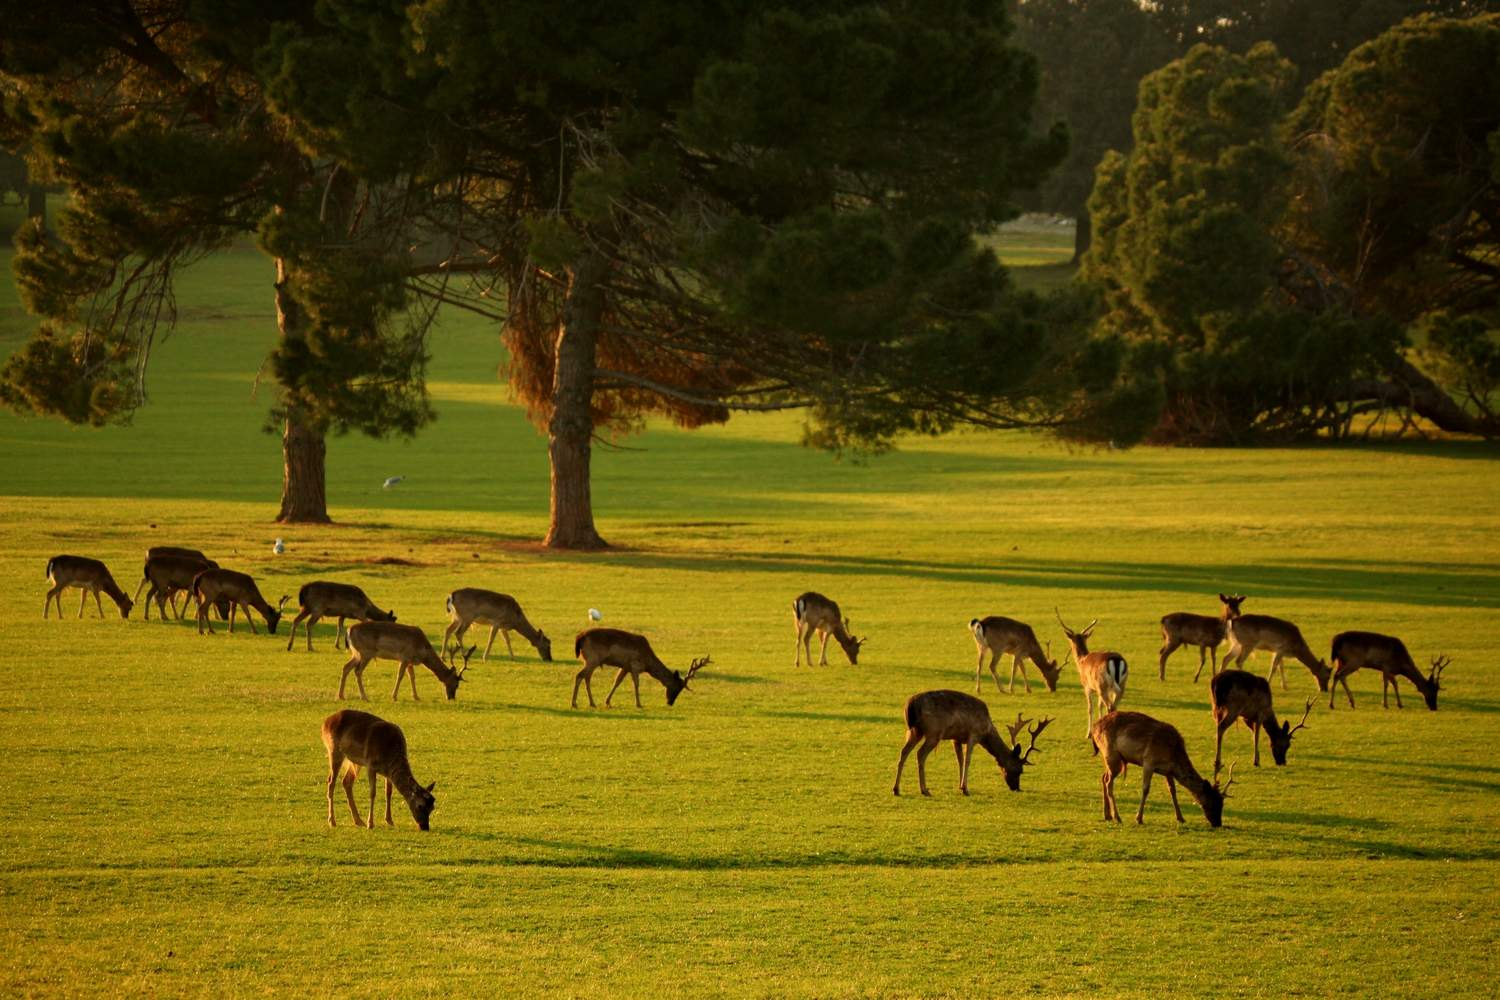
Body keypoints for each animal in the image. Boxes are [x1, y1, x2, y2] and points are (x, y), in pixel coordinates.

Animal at [337, 620, 471, 701]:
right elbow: (400, 675)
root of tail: (348, 631)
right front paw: (394, 696)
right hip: (366, 653)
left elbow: (412, 676)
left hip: (356, 653)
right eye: (456, 683)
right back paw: (364, 697)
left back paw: (341, 696)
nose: (451, 697)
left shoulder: (410, 661)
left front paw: (416, 697)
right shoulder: (405, 657)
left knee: (346, 667)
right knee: (357, 671)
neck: (423, 650)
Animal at [573, 629, 714, 707]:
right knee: (579, 675)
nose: (670, 702)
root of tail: (579, 638)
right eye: (677, 687)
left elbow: (617, 681)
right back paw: (574, 703)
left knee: (586, 678)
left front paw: (607, 702)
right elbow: (636, 684)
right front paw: (639, 704)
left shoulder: (625, 666)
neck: (648, 663)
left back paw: (592, 703)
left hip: (590, 661)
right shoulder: (635, 665)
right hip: (592, 659)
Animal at [888, 692, 1056, 803]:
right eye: (1019, 770)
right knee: (920, 754)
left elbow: (960, 760)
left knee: (903, 752)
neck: (987, 730)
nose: (1016, 788)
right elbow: (968, 760)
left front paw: (959, 786)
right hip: (933, 732)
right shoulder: (973, 734)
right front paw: (965, 789)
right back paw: (924, 790)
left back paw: (896, 789)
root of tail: (910, 706)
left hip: (914, 731)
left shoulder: (956, 738)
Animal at [1056, 605, 1128, 740]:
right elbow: (1099, 706)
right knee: (1113, 705)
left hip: (1102, 685)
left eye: (1070, 641)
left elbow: (1090, 708)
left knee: (1110, 706)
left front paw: (1088, 734)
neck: (1082, 661)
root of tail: (1116, 660)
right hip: (1121, 684)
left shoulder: (1087, 687)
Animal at [1092, 710, 1230, 827]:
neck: (1173, 753)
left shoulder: (1168, 771)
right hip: (1111, 754)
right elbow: (1145, 789)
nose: (1218, 823)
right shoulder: (1149, 761)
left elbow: (1172, 790)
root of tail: (1094, 729)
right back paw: (1117, 817)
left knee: (1103, 777)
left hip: (1111, 758)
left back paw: (1107, 815)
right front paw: (1139, 818)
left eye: (1222, 803)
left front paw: (1181, 818)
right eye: (1214, 802)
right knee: (1109, 782)